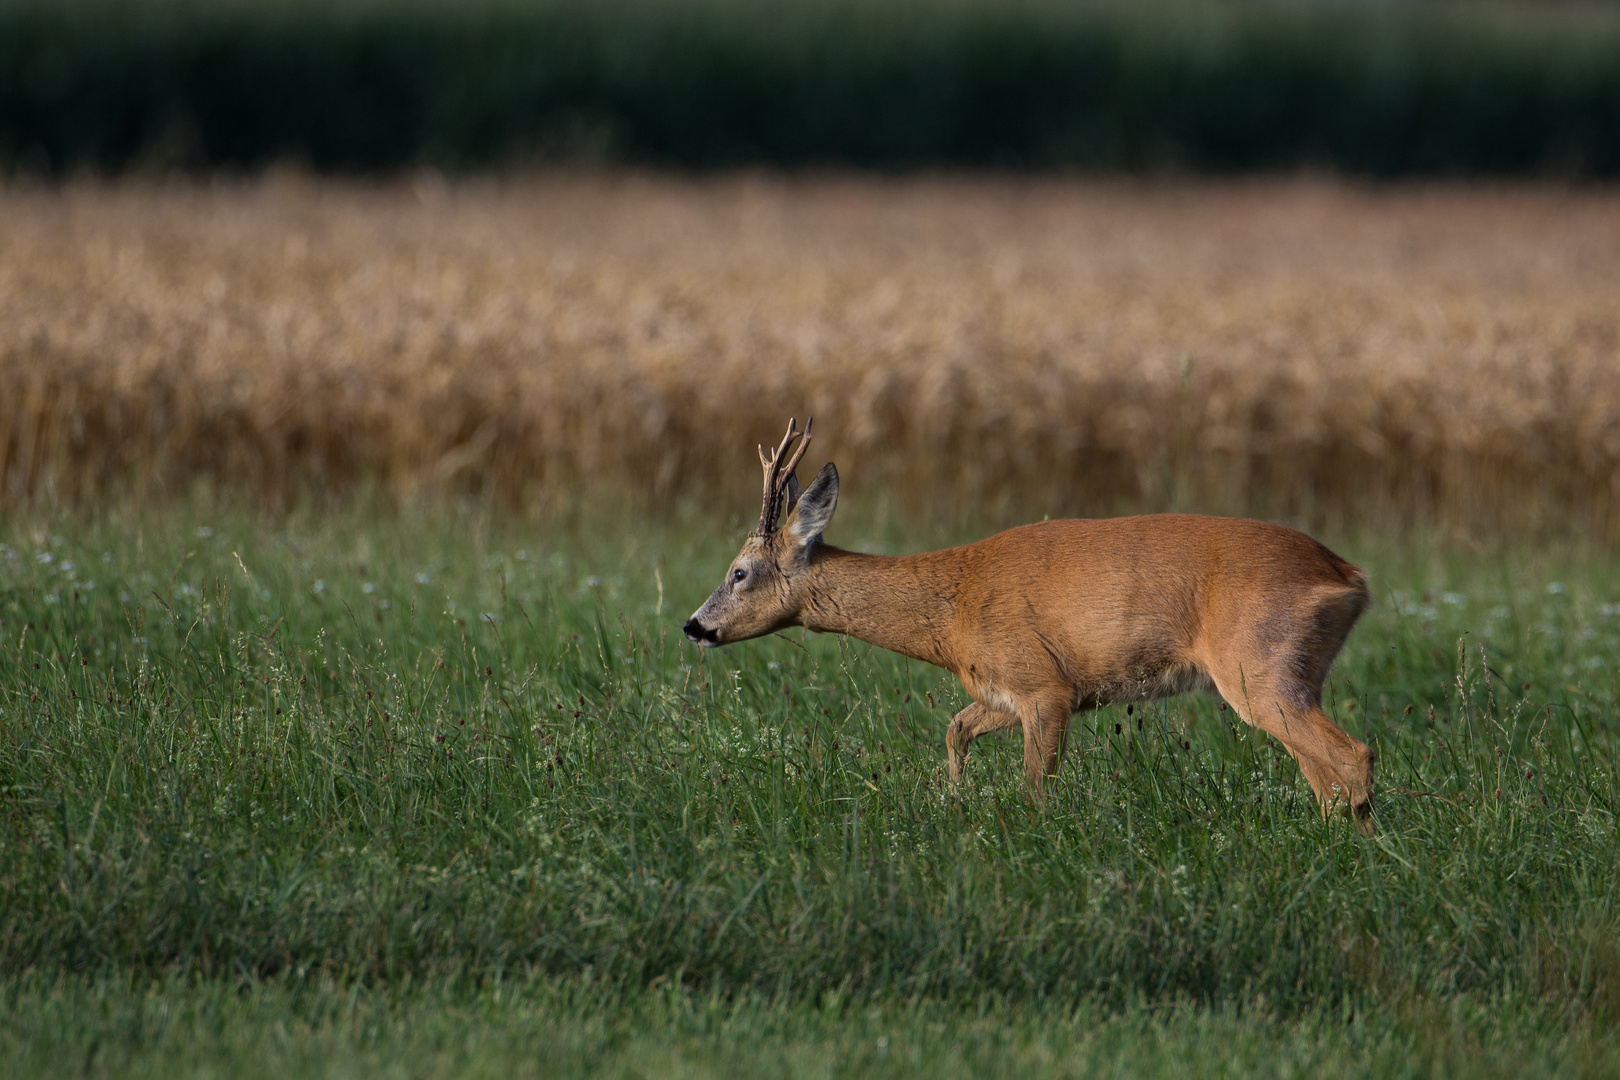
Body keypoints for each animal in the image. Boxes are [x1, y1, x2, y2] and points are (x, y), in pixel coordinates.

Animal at [683, 420, 1380, 829]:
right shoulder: (1006, 689)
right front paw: (953, 800)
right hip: (1293, 673)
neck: (954, 611)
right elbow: (955, 730)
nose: (694, 626)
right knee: (1323, 771)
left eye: (739, 572)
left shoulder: (1044, 686)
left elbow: (1033, 787)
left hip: (1259, 665)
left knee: (1352, 756)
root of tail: (1348, 576)